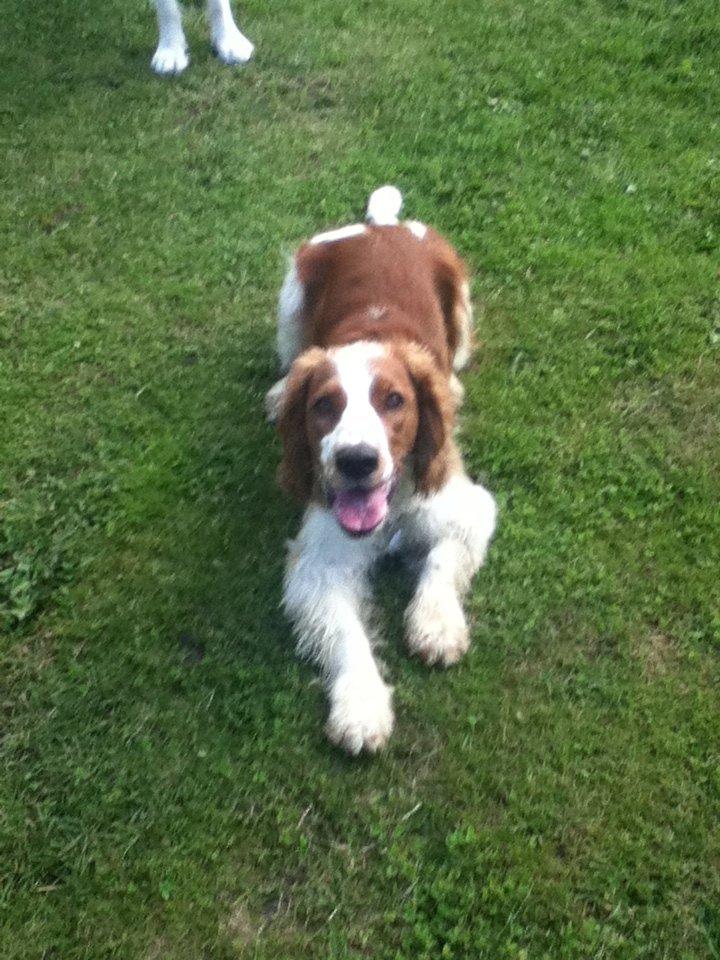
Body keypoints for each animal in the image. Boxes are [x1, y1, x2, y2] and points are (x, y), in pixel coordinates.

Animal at [268, 189, 498, 756]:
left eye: (394, 400)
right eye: (323, 406)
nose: (356, 460)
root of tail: (381, 226)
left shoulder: (470, 508)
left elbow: (441, 560)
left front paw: (436, 625)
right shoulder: (317, 562)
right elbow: (347, 635)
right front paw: (361, 707)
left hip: (460, 301)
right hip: (291, 297)